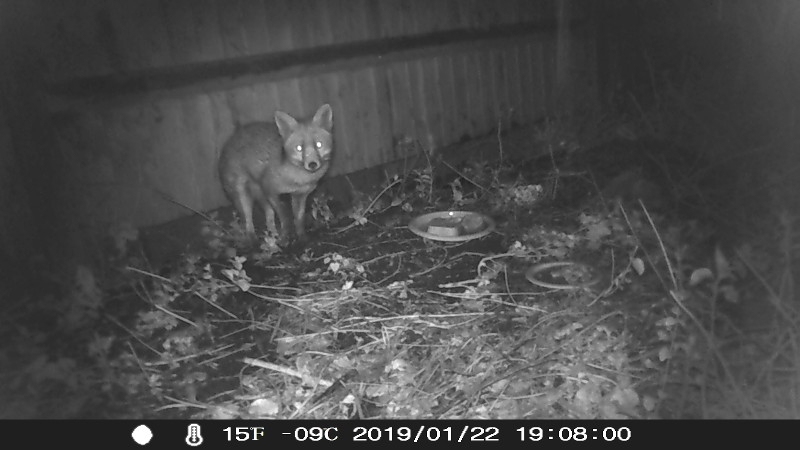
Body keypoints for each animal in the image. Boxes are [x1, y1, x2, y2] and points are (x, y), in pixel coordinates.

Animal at [217, 103, 332, 243]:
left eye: (319, 145)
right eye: (299, 148)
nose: (312, 164)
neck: (298, 180)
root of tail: (229, 141)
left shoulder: (300, 195)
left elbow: (299, 218)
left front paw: (302, 238)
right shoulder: (270, 191)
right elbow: (285, 216)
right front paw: (286, 237)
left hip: (260, 195)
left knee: (269, 215)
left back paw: (273, 237)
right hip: (243, 196)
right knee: (247, 220)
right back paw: (253, 240)